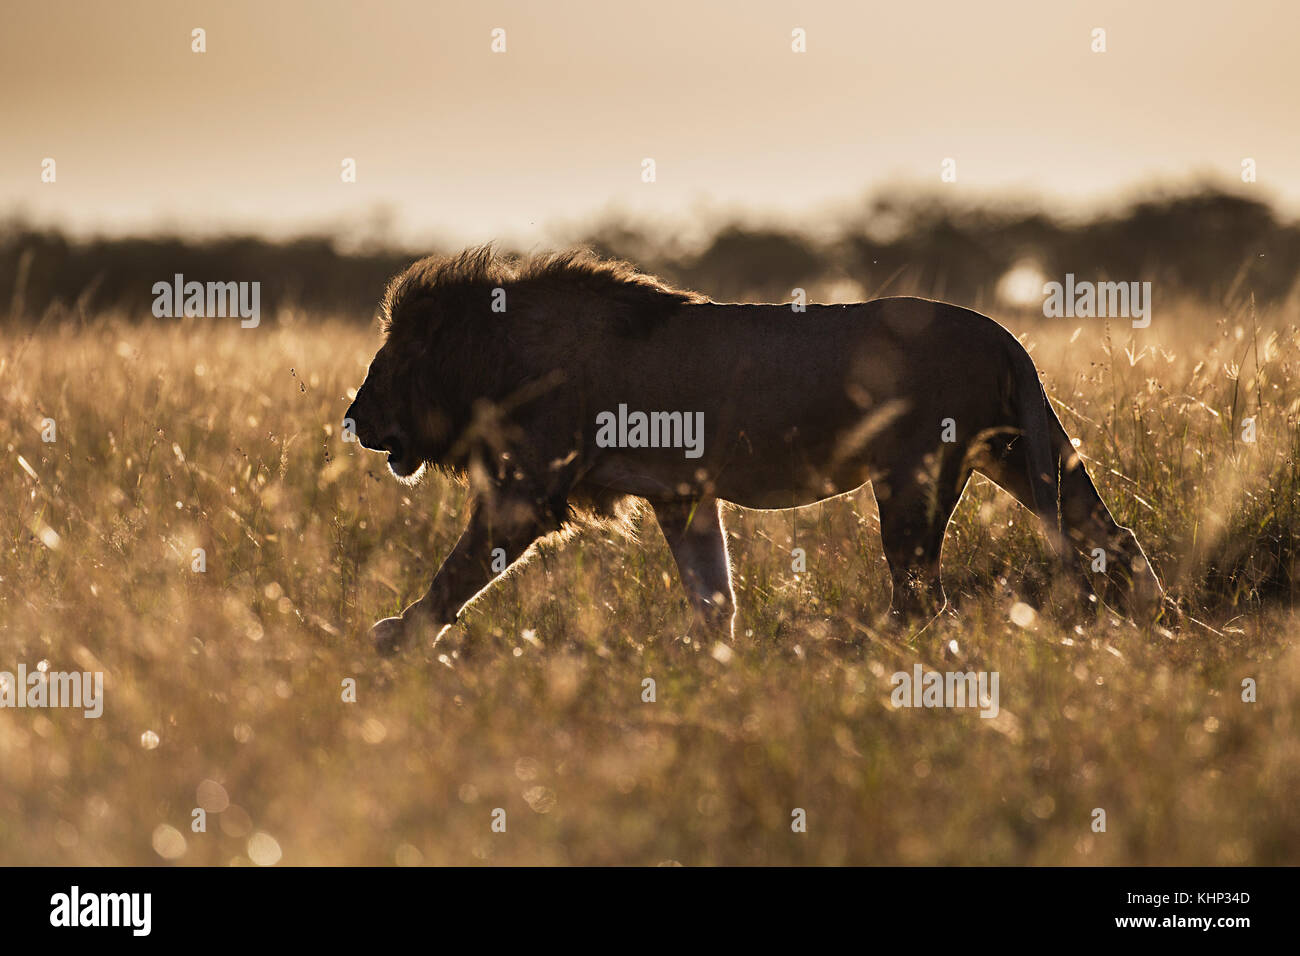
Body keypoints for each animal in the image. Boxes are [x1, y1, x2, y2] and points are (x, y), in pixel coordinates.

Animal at [344, 246, 1165, 654]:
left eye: (388, 364)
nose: (353, 419)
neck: (494, 355)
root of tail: (1006, 334)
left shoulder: (527, 493)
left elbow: (456, 572)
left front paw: (398, 638)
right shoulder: (680, 494)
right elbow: (713, 594)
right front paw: (712, 660)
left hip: (913, 477)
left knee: (920, 594)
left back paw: (861, 655)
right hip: (1021, 454)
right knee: (1109, 536)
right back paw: (1160, 623)